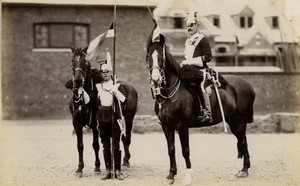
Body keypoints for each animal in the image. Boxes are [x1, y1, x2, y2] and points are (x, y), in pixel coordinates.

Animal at [67, 45, 138, 177]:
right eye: (72, 60)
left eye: (85, 61)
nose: (78, 81)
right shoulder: (76, 123)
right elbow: (80, 145)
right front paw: (80, 168)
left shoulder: (96, 125)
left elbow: (96, 145)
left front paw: (97, 167)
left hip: (129, 118)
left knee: (127, 138)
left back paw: (125, 161)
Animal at [145, 22, 255, 185]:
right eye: (148, 57)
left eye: (162, 57)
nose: (155, 79)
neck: (170, 94)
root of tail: (247, 84)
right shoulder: (166, 126)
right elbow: (171, 149)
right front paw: (171, 174)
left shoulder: (182, 125)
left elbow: (185, 150)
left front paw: (188, 176)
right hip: (232, 121)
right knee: (241, 142)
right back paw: (240, 169)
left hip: (240, 122)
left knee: (243, 141)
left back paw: (244, 170)